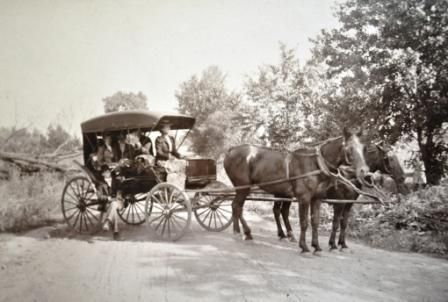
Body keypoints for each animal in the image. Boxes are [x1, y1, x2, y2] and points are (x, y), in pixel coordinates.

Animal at [224, 127, 372, 252]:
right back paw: (242, 232)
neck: (316, 165)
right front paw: (304, 246)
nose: (364, 172)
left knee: (238, 206)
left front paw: (316, 246)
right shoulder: (304, 198)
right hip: (243, 187)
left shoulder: (317, 198)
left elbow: (315, 221)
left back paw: (243, 232)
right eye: (350, 148)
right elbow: (304, 222)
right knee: (237, 206)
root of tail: (231, 150)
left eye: (364, 148)